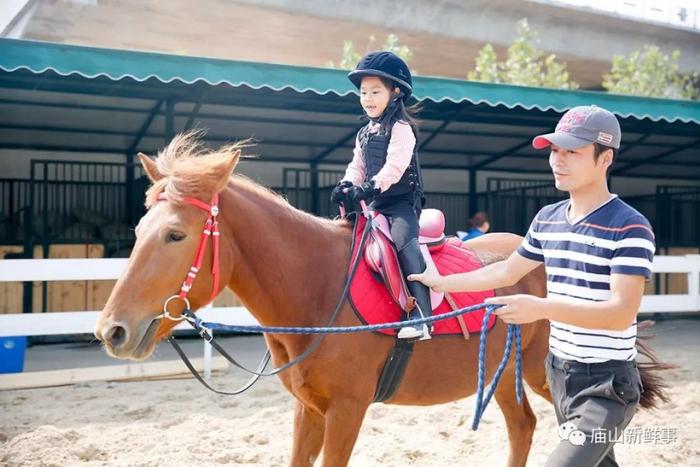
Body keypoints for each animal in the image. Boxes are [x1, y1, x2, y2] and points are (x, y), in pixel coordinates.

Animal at [94, 134, 668, 467]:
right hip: (505, 374)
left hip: (534, 372)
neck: (317, 288)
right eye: (139, 230)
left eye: (174, 235)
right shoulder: (309, 411)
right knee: (523, 429)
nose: (111, 330)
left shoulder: (348, 411)